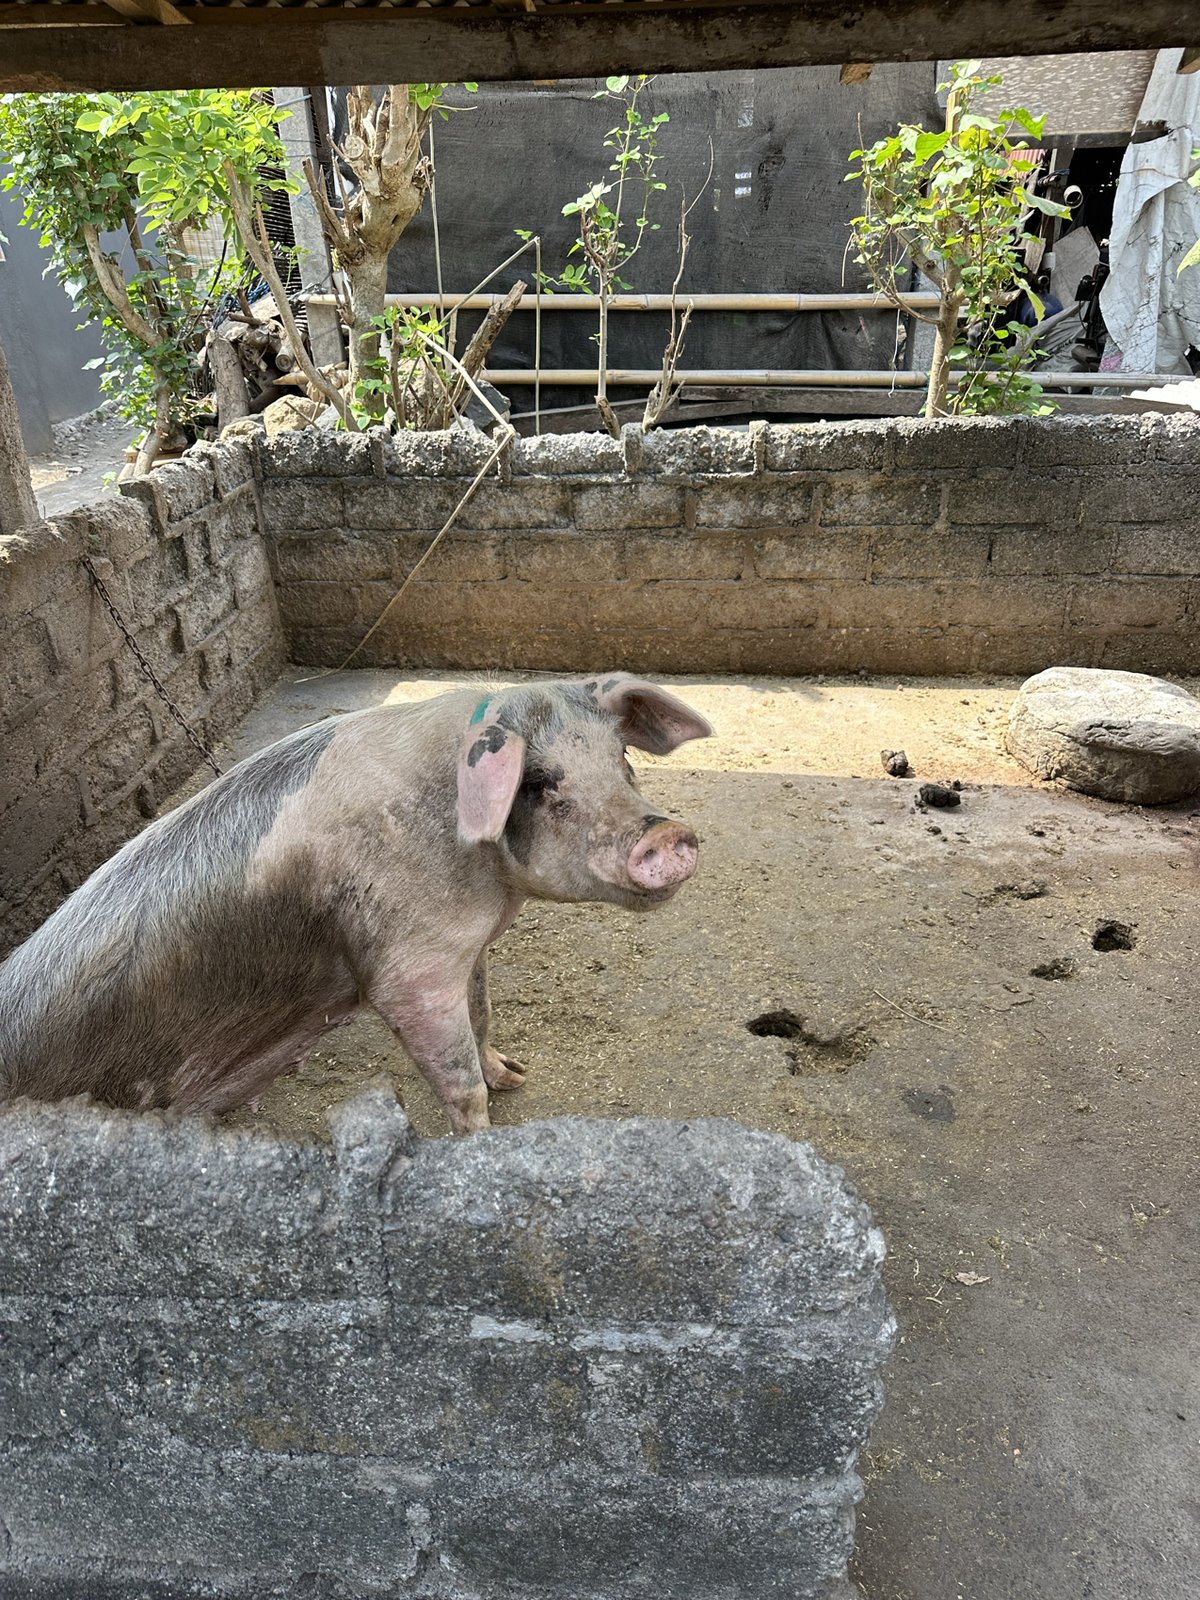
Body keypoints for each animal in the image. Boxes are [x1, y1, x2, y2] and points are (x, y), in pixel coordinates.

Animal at [0, 674, 711, 1134]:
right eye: (535, 782)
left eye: (621, 757)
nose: (666, 834)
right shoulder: (409, 969)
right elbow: (458, 1079)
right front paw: (484, 1137)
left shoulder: (466, 947)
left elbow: (482, 1018)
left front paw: (516, 1075)